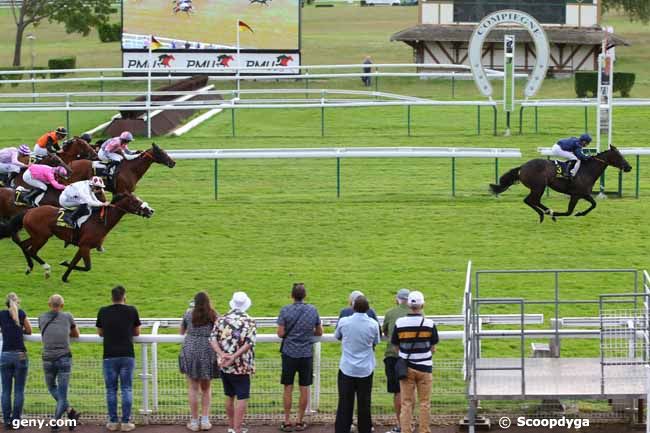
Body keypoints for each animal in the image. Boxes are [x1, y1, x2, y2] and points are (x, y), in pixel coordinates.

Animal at [0, 192, 154, 280]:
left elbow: (75, 263)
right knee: (31, 250)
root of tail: (28, 212)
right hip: (42, 236)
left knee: (24, 245)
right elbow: (87, 267)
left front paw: (64, 277)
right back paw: (46, 269)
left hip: (38, 236)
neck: (99, 221)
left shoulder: (83, 247)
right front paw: (63, 263)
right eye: (135, 201)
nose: (151, 211)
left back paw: (29, 267)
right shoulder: (85, 246)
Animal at [488, 146, 632, 223]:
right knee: (529, 200)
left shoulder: (583, 194)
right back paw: (543, 214)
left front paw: (580, 213)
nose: (629, 167)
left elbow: (594, 204)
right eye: (619, 156)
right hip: (538, 186)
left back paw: (547, 211)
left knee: (534, 201)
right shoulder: (575, 195)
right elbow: (569, 212)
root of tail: (522, 167)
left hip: (538, 187)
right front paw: (556, 215)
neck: (586, 170)